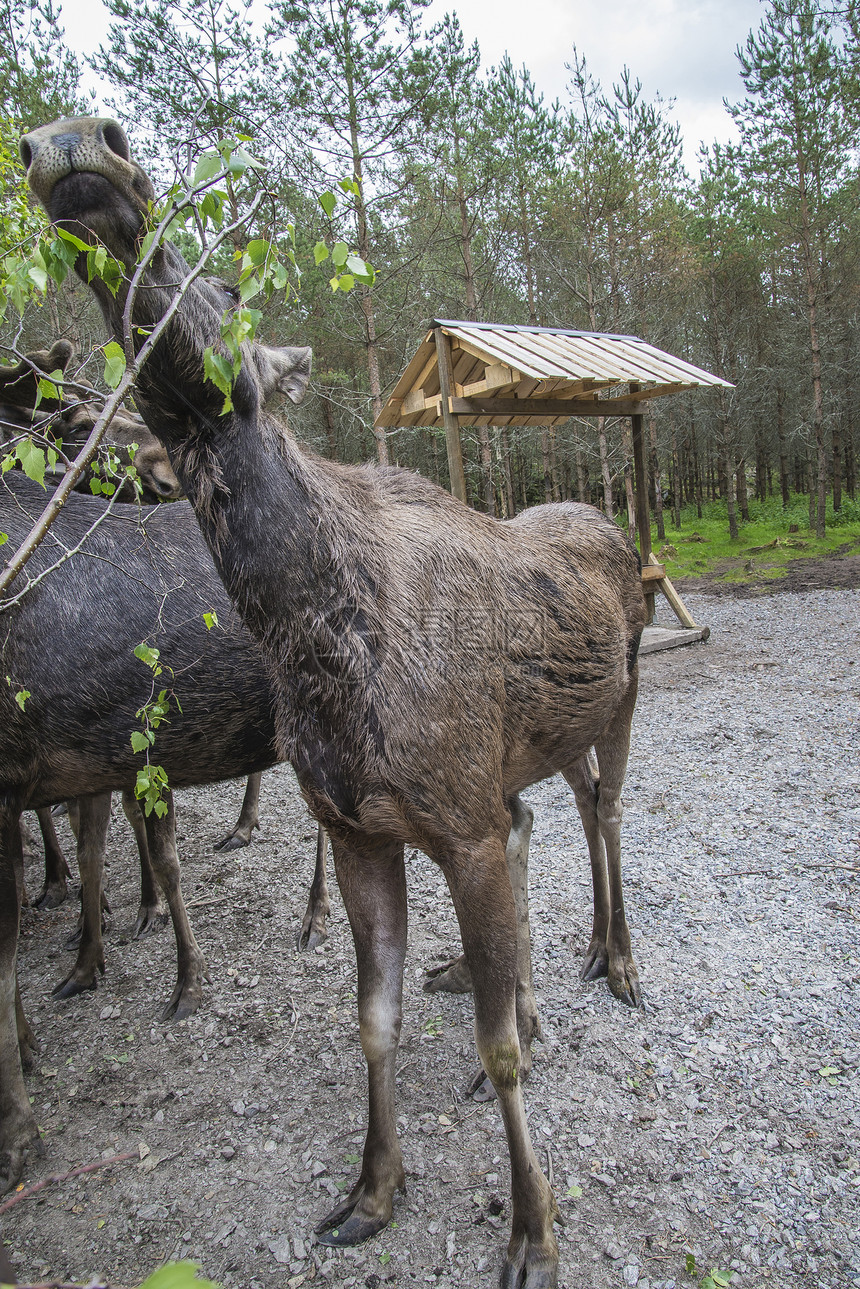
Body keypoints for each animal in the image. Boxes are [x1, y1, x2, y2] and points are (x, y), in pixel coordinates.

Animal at [18, 118, 644, 1289]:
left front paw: (532, 1230)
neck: (312, 640)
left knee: (609, 814)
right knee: (555, 811)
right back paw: (538, 979)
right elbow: (371, 1020)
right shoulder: (358, 826)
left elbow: (491, 1050)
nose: (78, 146)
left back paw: (617, 960)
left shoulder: (458, 825)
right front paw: (372, 1189)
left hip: (624, 707)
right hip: (533, 748)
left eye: (229, 284)